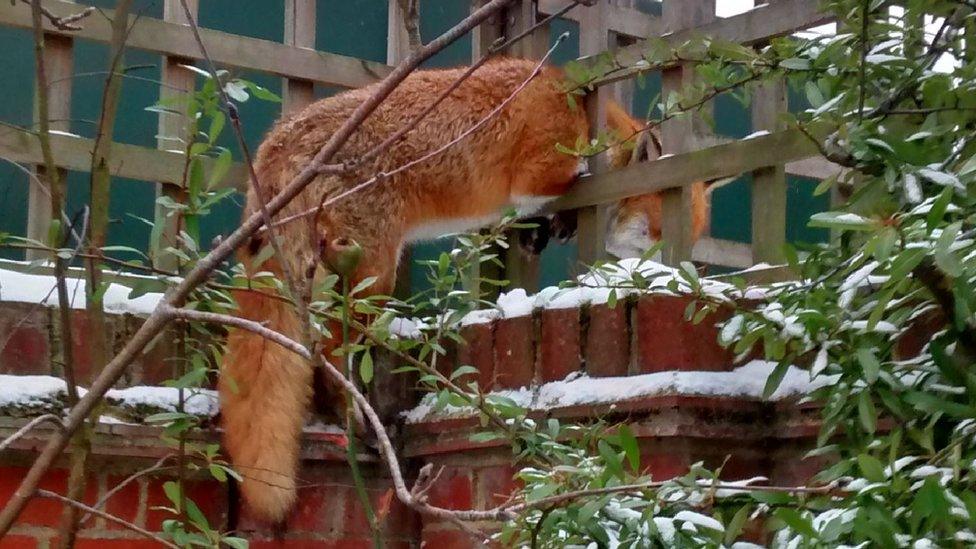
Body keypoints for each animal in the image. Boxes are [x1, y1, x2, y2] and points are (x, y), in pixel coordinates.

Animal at [219, 56, 708, 524]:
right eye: (660, 231)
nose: (684, 277)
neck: (582, 113)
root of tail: (277, 139)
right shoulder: (539, 170)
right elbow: (565, 178)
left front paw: (547, 227)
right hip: (372, 276)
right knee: (334, 350)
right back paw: (355, 420)